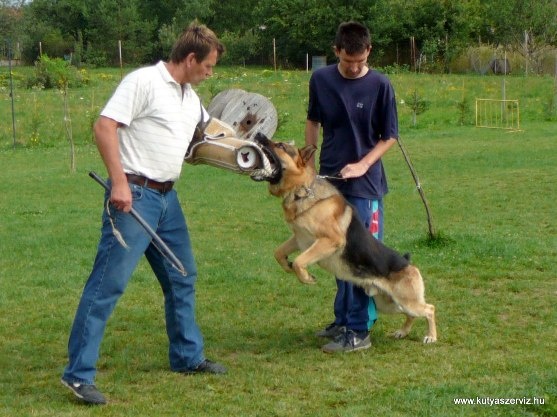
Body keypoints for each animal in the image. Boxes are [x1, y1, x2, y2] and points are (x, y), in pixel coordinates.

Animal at [254, 135, 436, 342]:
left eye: (280, 146)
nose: (259, 135)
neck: (302, 190)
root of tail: (408, 263)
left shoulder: (330, 240)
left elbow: (300, 261)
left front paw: (306, 278)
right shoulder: (299, 238)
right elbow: (278, 253)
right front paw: (288, 266)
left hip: (405, 301)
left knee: (429, 309)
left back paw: (431, 336)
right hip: (389, 303)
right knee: (411, 315)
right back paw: (403, 331)